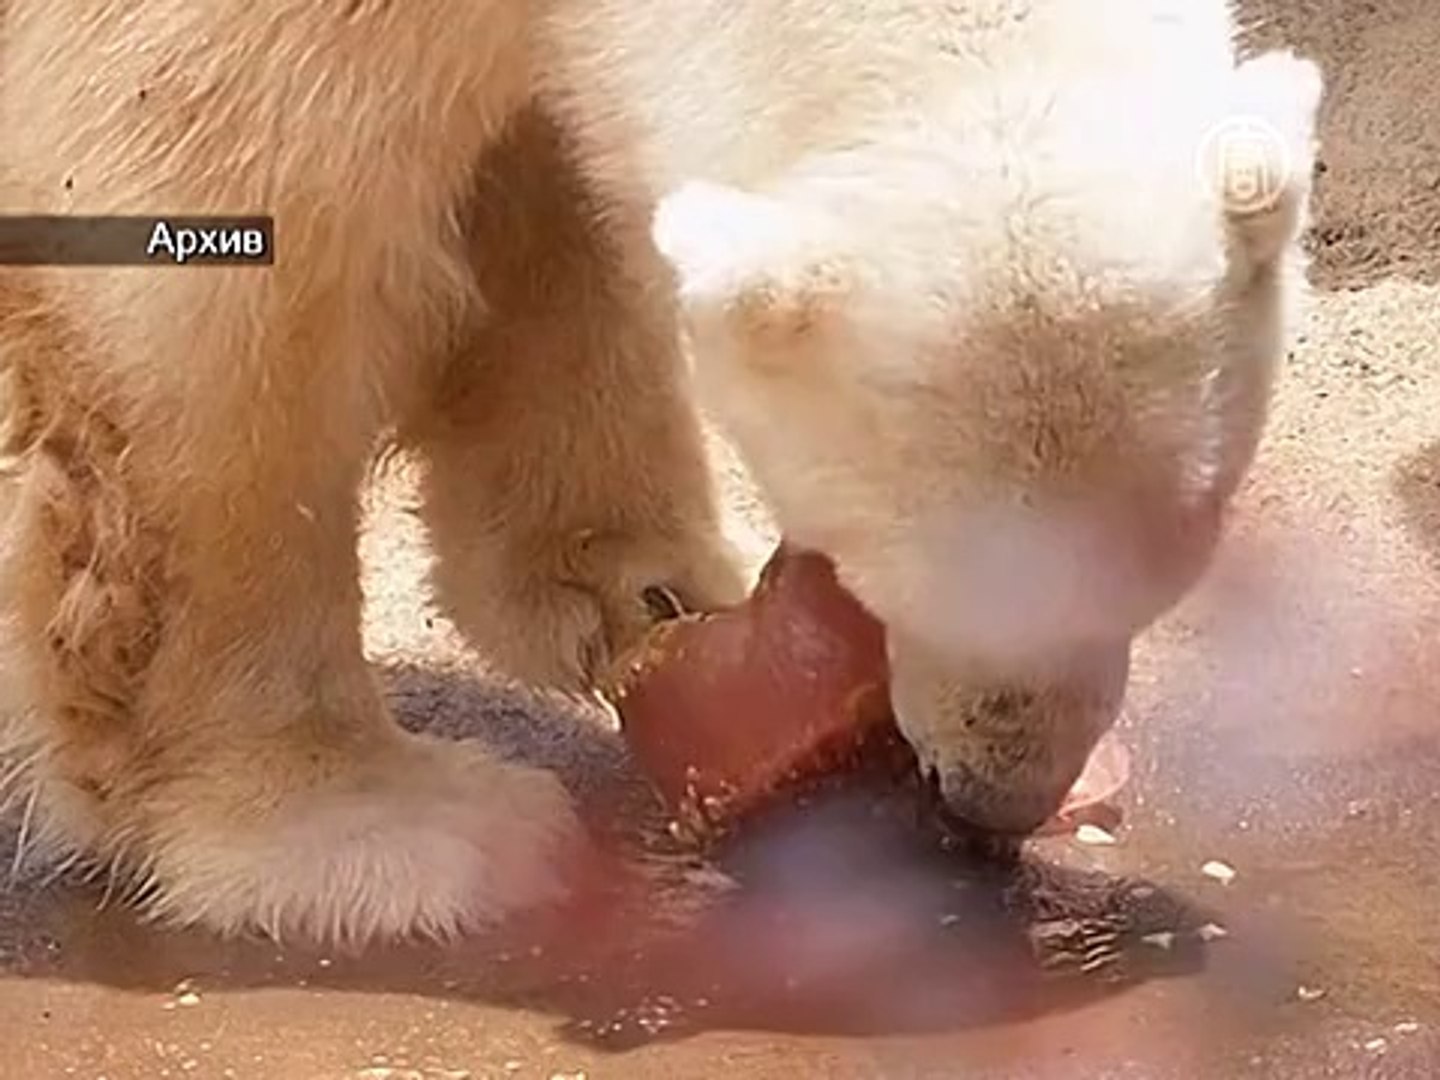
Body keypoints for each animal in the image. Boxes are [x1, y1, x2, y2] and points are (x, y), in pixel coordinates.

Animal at [0, 0, 1322, 946]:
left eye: (1155, 579)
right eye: (922, 581)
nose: (999, 796)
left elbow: (559, 185)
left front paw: (630, 587)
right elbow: (220, 275)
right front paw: (377, 827)